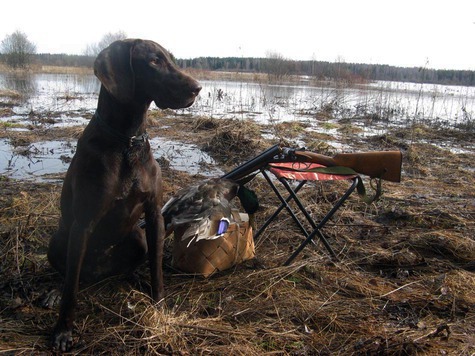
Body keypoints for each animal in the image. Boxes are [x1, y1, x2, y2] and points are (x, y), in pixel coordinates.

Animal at [46, 38, 199, 350]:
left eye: (170, 58)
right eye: (153, 60)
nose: (197, 88)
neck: (127, 141)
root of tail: (100, 273)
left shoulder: (153, 215)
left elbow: (157, 270)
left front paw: (159, 305)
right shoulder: (83, 224)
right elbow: (70, 290)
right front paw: (63, 330)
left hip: (137, 238)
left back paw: (134, 279)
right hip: (59, 240)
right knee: (67, 276)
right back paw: (54, 292)